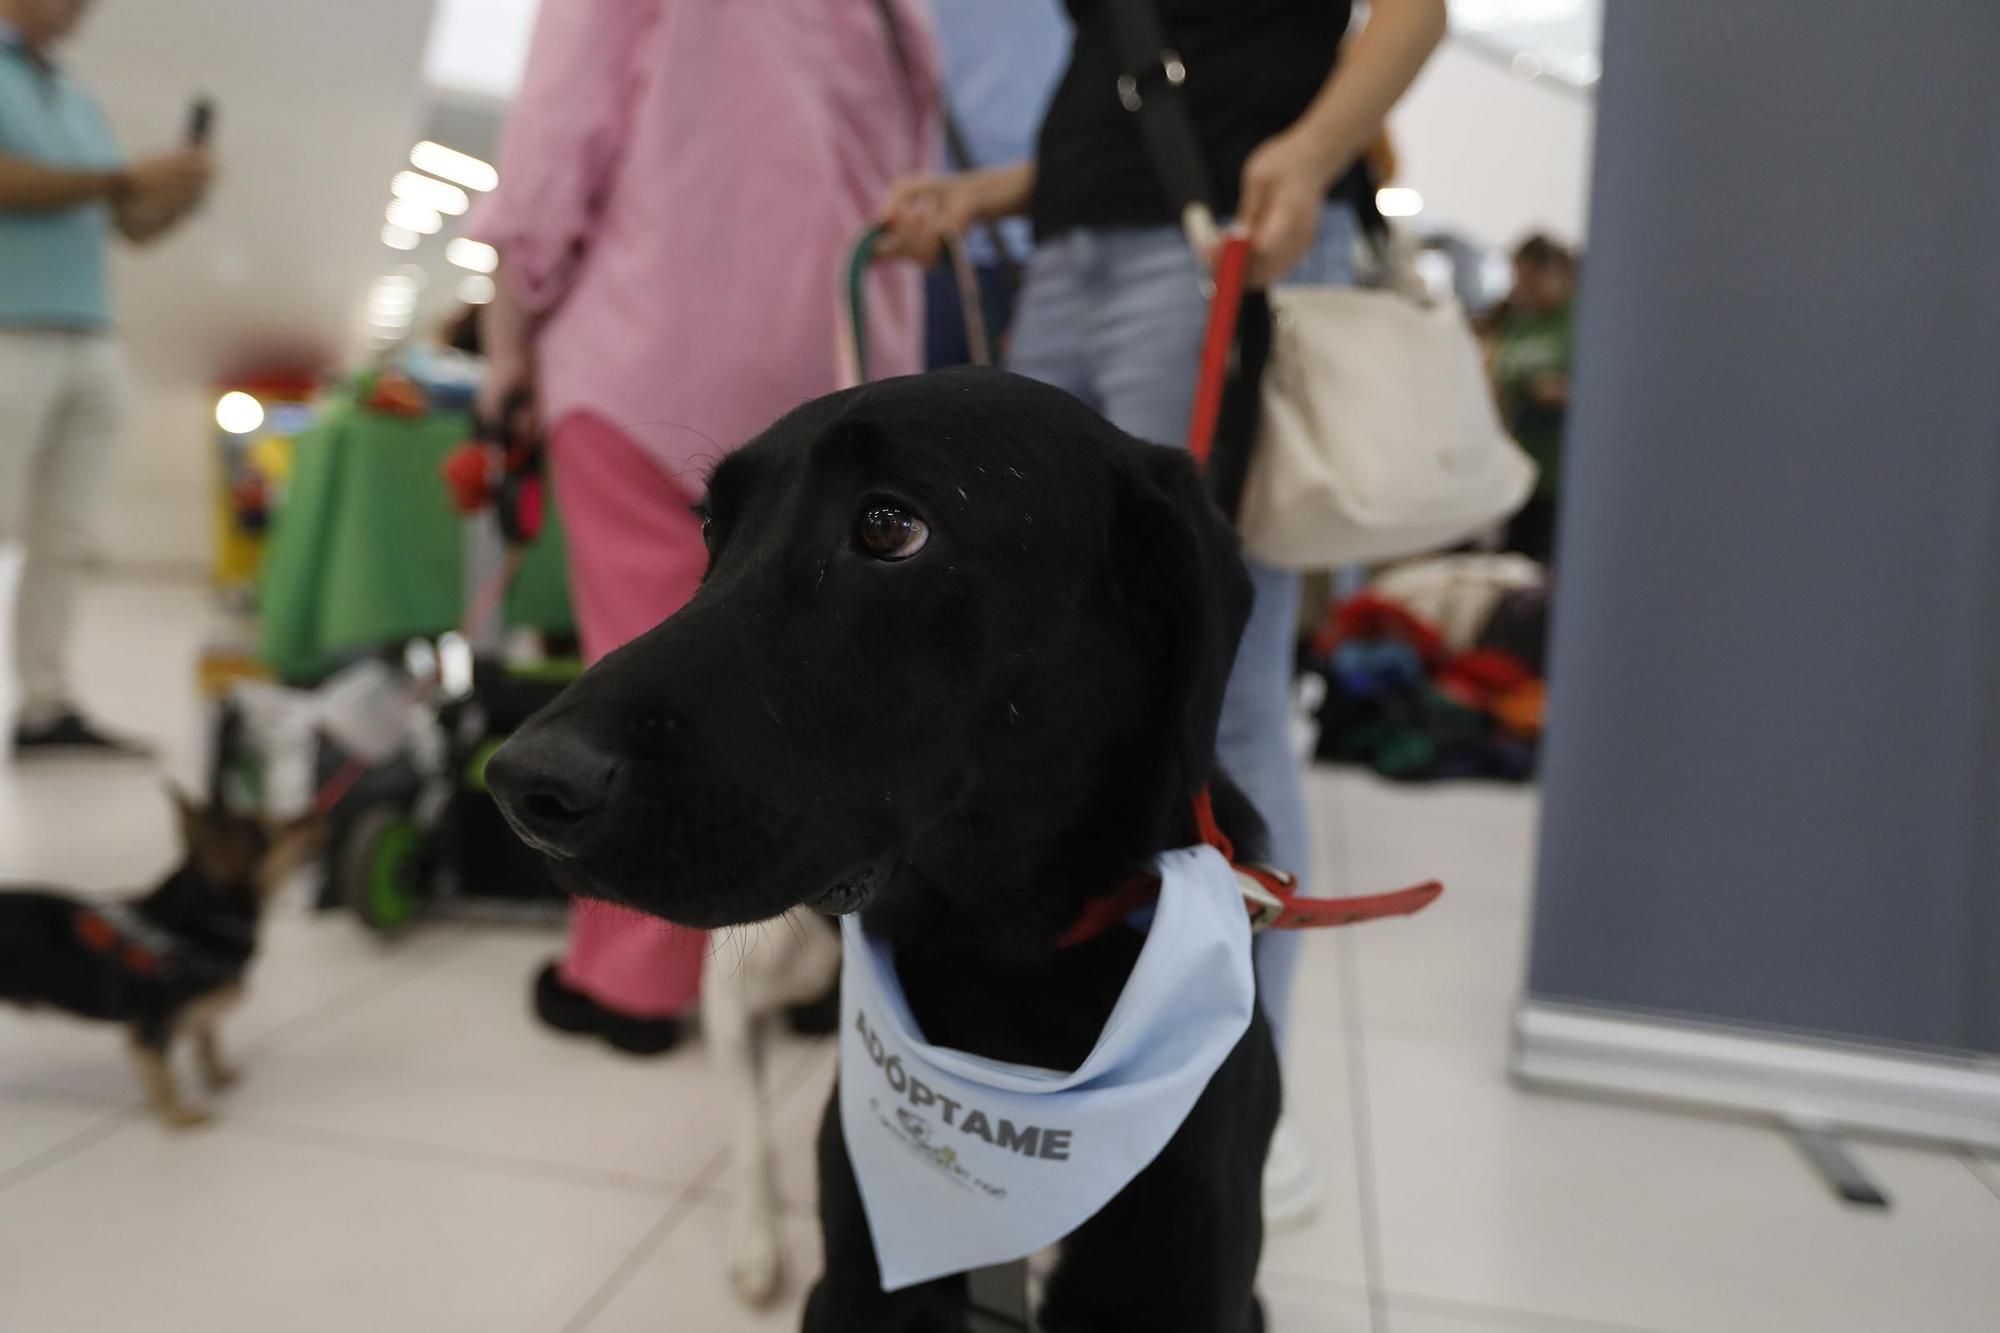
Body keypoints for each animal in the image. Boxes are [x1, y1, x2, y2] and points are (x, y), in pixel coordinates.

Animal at [0, 788, 312, 1120]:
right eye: (276, 829)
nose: (316, 818)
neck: (194, 924)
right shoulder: (152, 1027)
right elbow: (163, 1075)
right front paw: (179, 1117)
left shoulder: (193, 1016)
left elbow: (207, 1042)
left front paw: (218, 1077)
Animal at [494, 366, 1288, 1328]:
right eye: (712, 529)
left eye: (888, 525)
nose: (520, 786)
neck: (998, 974)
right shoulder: (851, 1289)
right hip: (748, 976)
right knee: (745, 1111)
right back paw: (755, 1239)